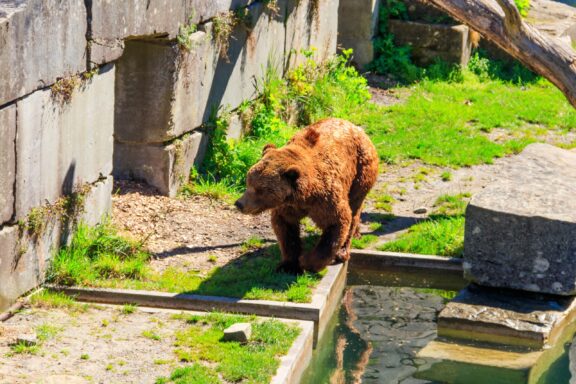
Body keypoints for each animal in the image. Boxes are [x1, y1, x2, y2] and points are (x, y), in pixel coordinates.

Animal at [234, 118, 378, 272]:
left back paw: (343, 250)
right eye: (248, 182)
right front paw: (288, 264)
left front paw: (306, 261)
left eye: (260, 189)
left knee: (354, 208)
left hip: (360, 171)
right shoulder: (289, 205)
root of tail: (357, 128)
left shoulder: (325, 199)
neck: (305, 196)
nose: (239, 204)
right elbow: (285, 228)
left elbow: (337, 222)